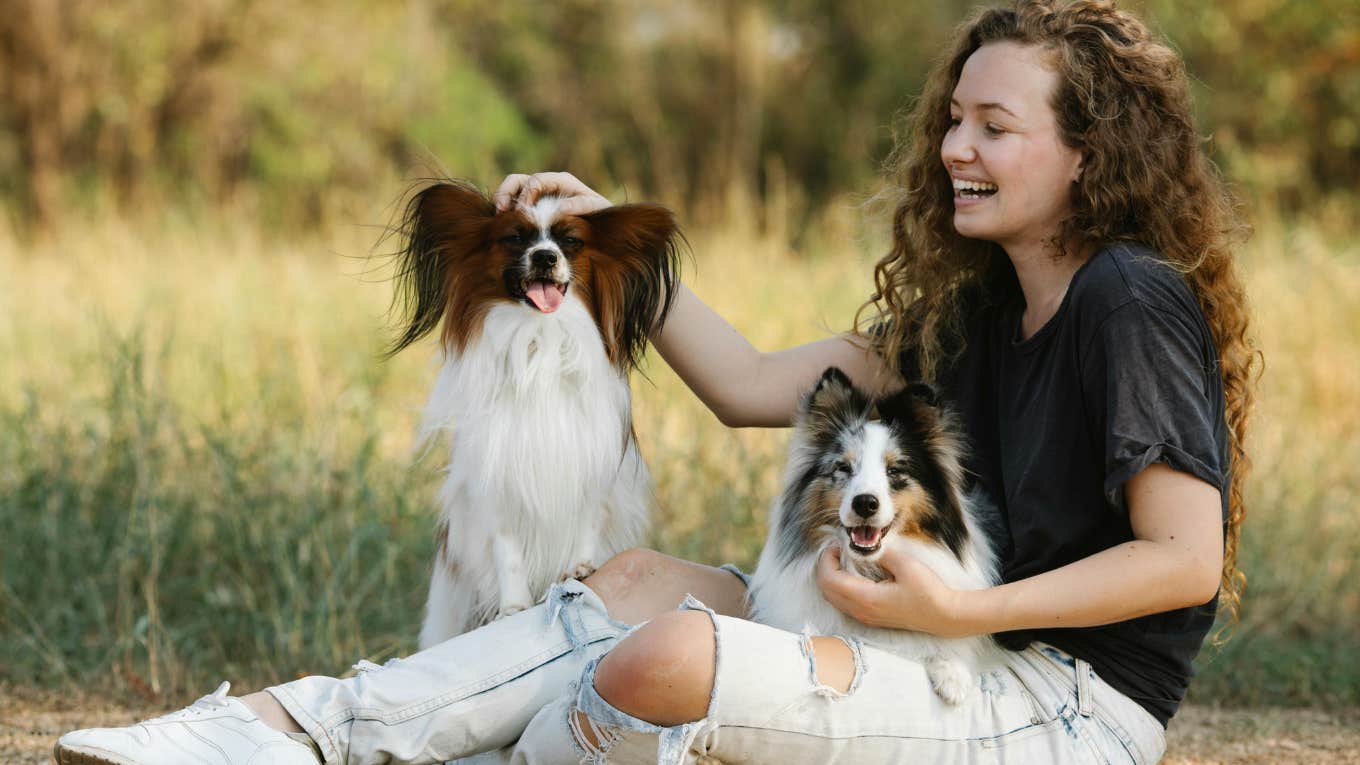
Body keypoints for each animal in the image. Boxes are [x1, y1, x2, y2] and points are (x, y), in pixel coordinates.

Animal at [391, 176, 685, 642]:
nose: (545, 256)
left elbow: (586, 522)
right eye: (514, 238)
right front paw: (513, 607)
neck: (540, 337)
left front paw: (581, 568)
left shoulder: (592, 466)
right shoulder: (495, 475)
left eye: (570, 242)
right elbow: (507, 549)